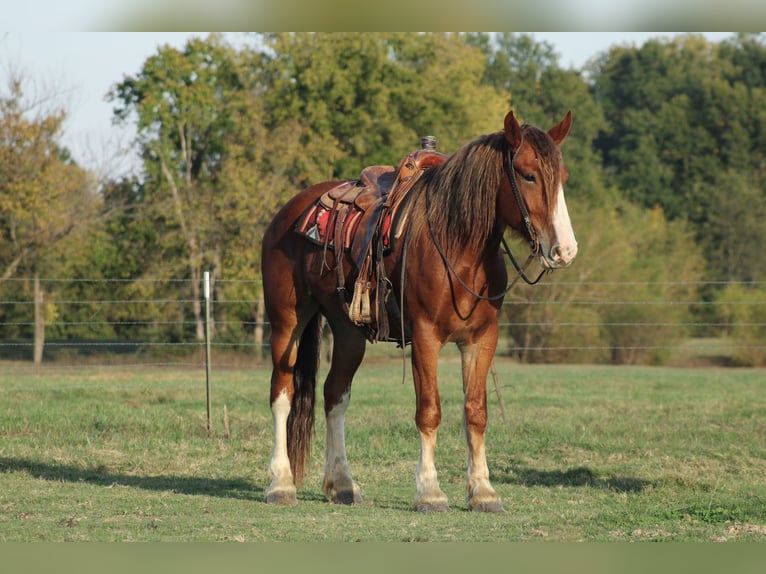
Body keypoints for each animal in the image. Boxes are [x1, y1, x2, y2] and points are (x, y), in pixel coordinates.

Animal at [260, 109, 577, 512]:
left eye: (562, 177)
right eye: (528, 175)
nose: (565, 250)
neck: (458, 244)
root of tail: (288, 212)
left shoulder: (482, 340)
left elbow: (476, 412)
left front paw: (483, 491)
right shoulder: (425, 337)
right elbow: (429, 410)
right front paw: (429, 490)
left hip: (347, 332)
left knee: (335, 396)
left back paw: (342, 484)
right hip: (288, 322)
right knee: (282, 395)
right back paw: (280, 484)